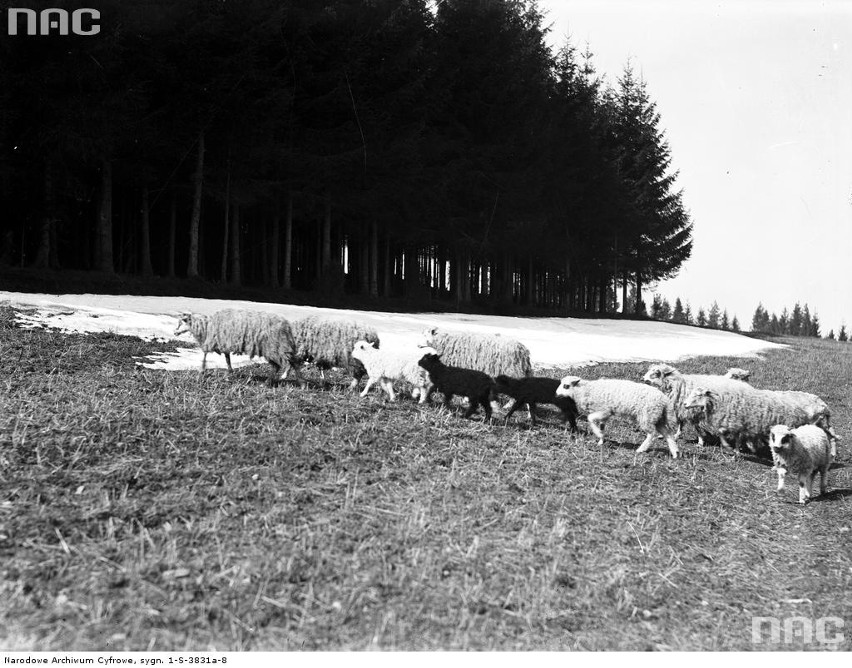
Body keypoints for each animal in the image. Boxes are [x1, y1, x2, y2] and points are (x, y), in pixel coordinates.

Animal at [556, 376, 684, 460]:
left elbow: (590, 418)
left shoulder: (605, 409)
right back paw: (675, 453)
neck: (586, 390)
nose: (556, 394)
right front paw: (601, 439)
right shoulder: (606, 414)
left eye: (566, 386)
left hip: (646, 415)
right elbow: (602, 426)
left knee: (652, 434)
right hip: (657, 417)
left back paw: (641, 449)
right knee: (668, 434)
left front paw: (598, 434)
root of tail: (665, 401)